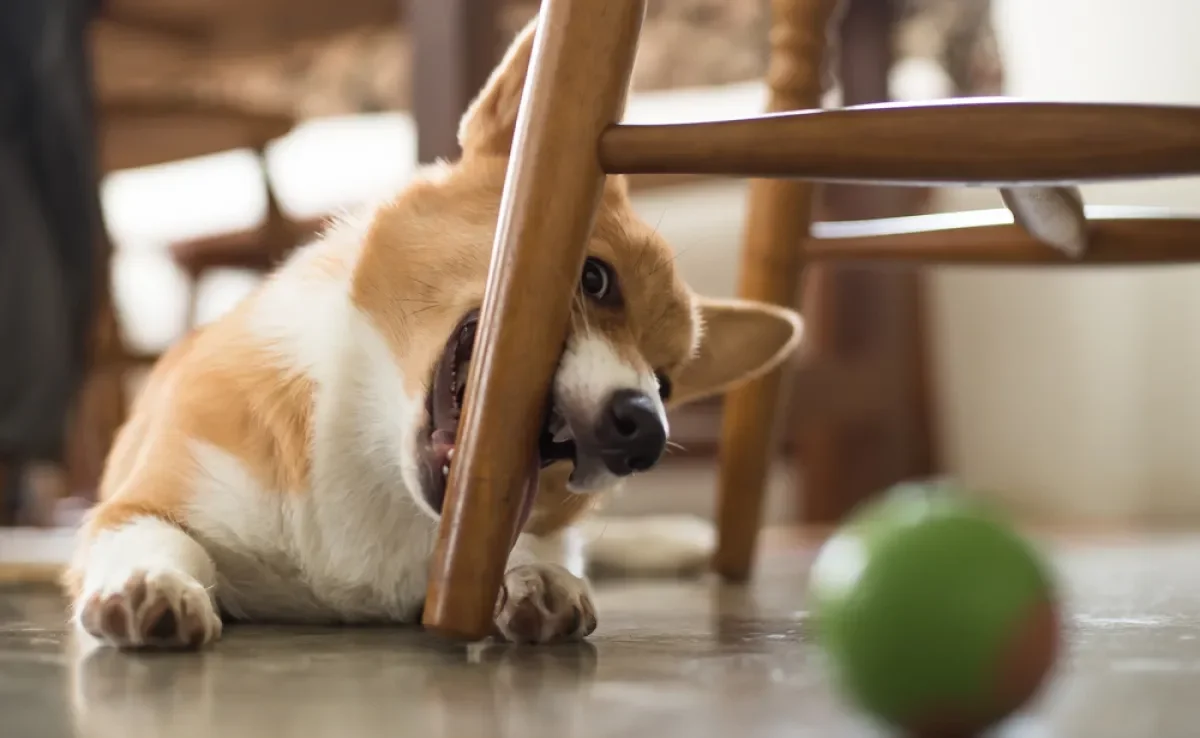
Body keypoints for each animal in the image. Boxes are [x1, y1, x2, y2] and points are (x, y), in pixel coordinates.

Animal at [63, 20, 796, 648]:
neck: (377, 457)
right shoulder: (137, 504)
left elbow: (540, 545)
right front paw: (151, 584)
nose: (646, 432)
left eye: (667, 384)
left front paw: (539, 579)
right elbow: (159, 538)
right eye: (595, 278)